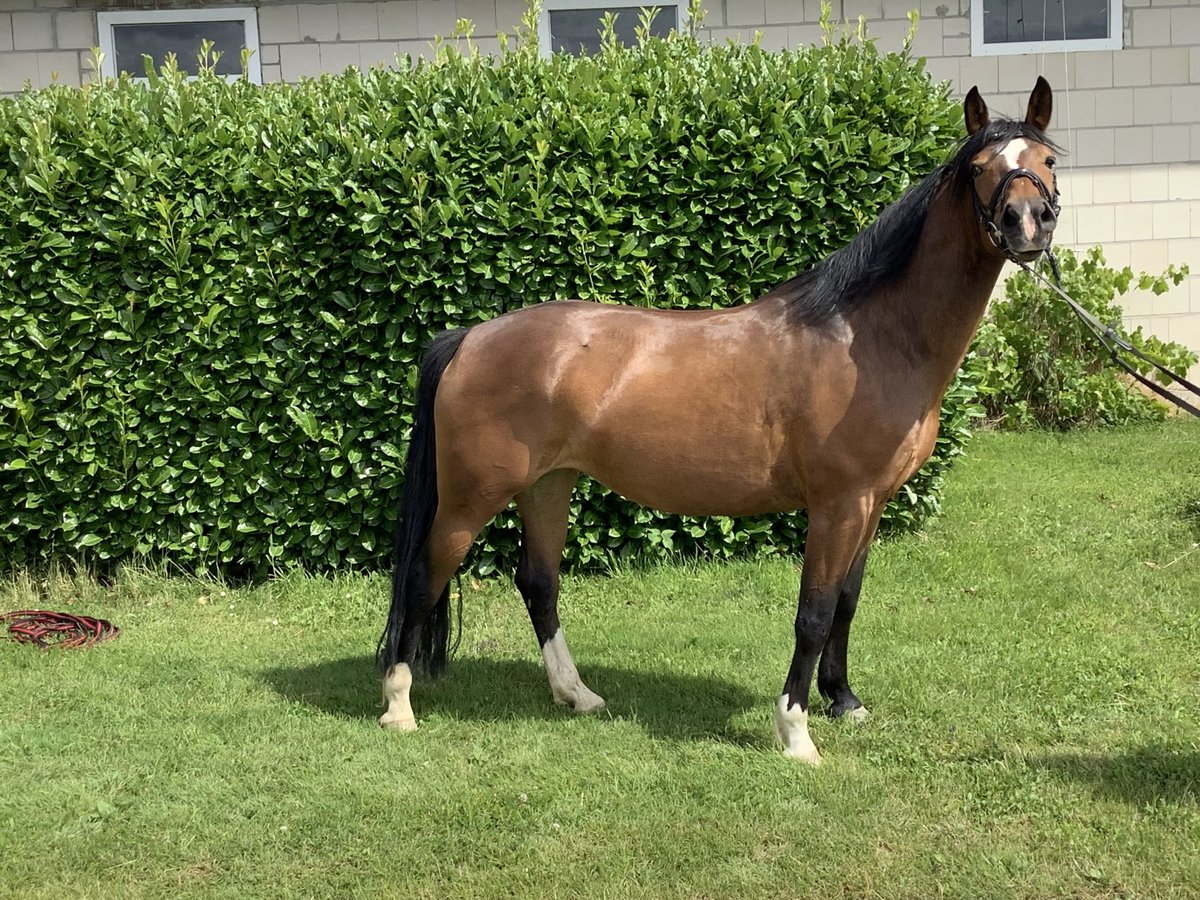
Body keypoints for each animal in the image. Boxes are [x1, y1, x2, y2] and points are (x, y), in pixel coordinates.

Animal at [374, 81, 1060, 763]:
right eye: (979, 168)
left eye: (1049, 159)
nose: (1028, 220)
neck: (867, 338)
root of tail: (469, 339)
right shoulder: (838, 505)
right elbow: (813, 613)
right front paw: (796, 732)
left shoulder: (871, 503)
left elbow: (846, 601)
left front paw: (844, 702)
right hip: (471, 499)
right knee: (421, 579)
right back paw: (399, 707)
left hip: (548, 484)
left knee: (538, 582)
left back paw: (578, 695)